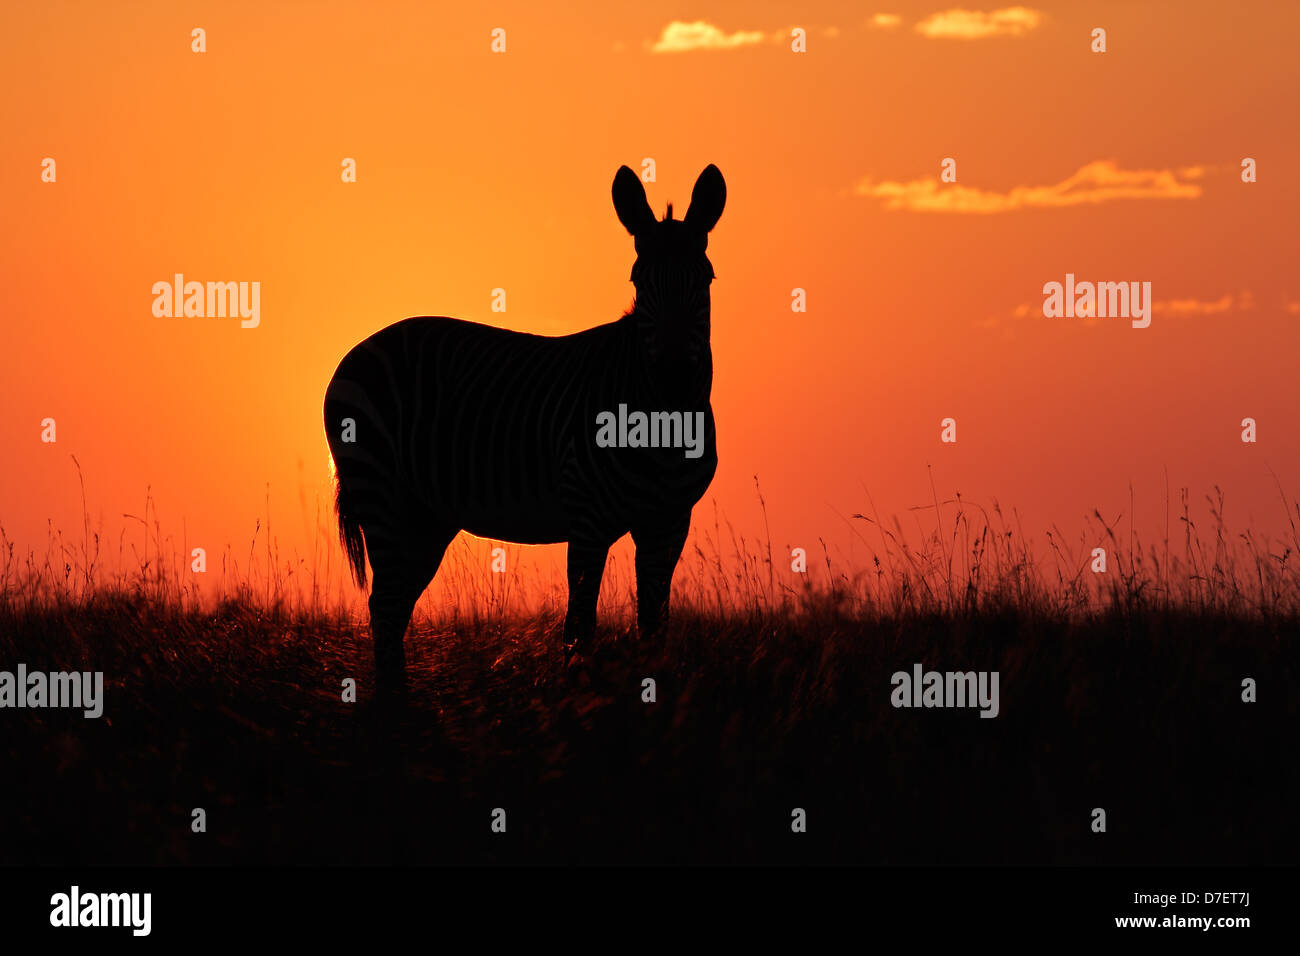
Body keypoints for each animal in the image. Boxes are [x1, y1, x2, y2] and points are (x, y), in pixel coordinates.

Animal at [321, 164, 728, 697]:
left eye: (706, 279)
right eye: (638, 281)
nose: (676, 377)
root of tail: (358, 348)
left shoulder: (670, 522)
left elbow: (653, 626)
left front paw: (653, 696)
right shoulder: (588, 517)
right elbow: (580, 626)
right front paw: (579, 702)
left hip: (425, 516)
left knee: (394, 607)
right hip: (382, 493)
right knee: (386, 608)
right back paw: (393, 709)